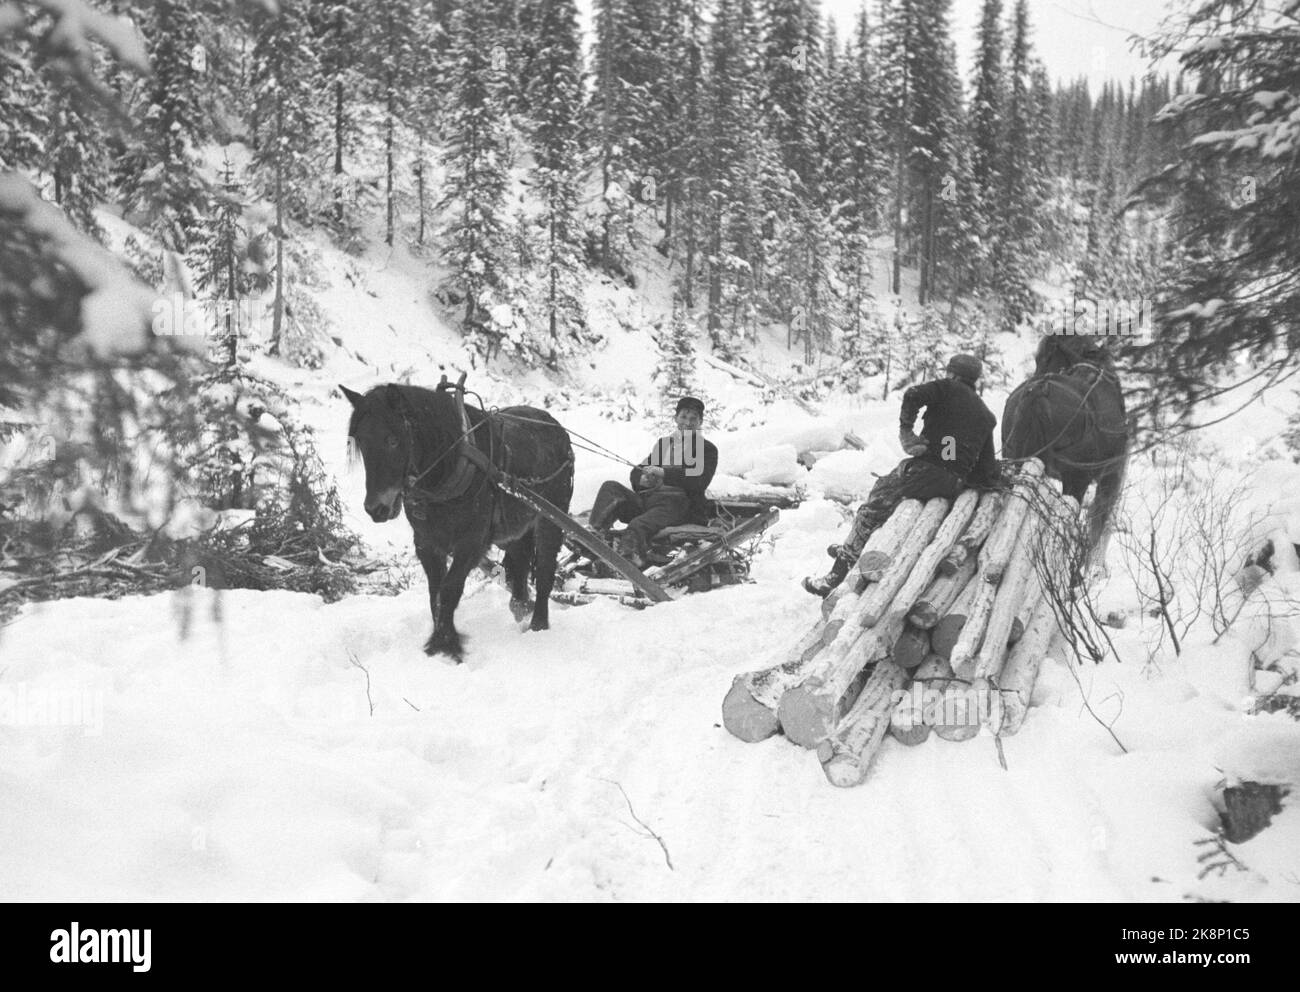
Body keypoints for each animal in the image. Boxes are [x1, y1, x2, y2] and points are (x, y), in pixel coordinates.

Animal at [342, 381, 574, 661]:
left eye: (393, 440)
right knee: (519, 561)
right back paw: (520, 606)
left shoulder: (471, 543)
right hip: (514, 528)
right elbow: (435, 593)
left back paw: (538, 624)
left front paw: (446, 644)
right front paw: (439, 642)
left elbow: (450, 589)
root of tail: (556, 427)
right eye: (361, 442)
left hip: (551, 521)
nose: (376, 508)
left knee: (545, 570)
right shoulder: (427, 544)